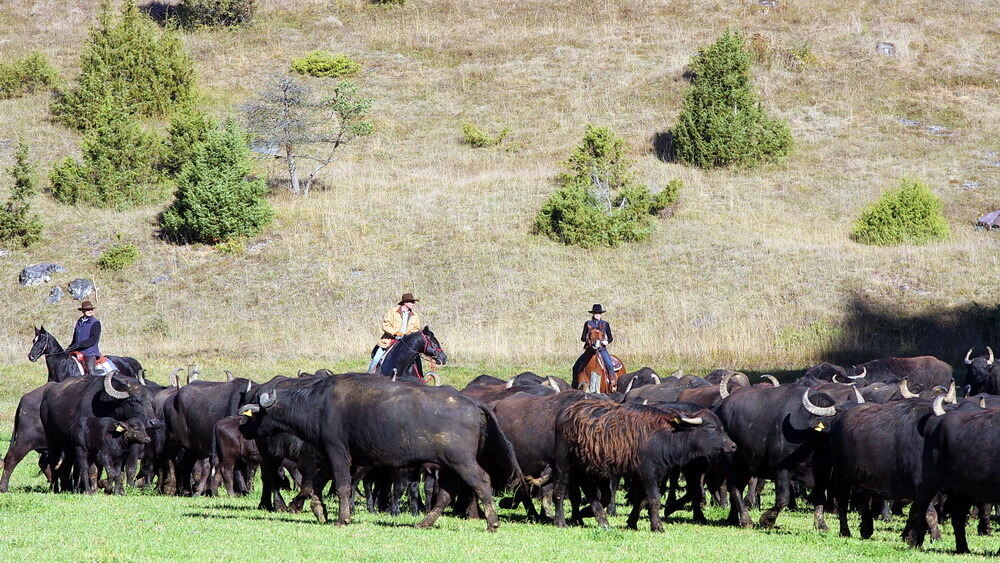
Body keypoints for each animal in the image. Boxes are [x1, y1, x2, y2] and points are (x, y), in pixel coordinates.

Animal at [240, 374, 524, 532]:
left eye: (254, 413)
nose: (242, 427)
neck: (317, 405)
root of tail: (473, 404)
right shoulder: (332, 457)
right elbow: (314, 485)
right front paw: (318, 511)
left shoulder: (338, 452)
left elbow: (341, 486)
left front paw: (342, 518)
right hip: (447, 465)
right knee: (446, 493)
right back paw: (424, 522)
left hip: (462, 461)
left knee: (481, 481)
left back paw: (492, 522)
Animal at [556, 398, 736, 532]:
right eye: (712, 427)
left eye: (721, 426)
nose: (733, 446)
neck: (666, 436)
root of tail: (566, 414)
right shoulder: (648, 472)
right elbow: (654, 498)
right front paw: (657, 526)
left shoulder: (648, 475)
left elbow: (640, 500)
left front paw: (632, 522)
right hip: (564, 465)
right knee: (560, 491)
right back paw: (561, 521)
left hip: (584, 468)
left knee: (592, 492)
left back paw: (598, 520)